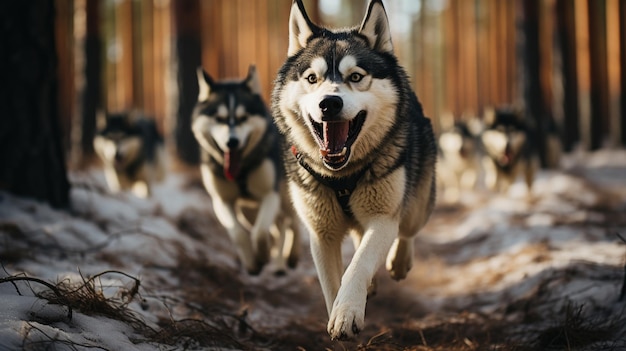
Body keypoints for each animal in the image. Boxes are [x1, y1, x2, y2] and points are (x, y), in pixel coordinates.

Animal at [193, 65, 300, 276]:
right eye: (219, 118)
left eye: (243, 118)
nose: (232, 142)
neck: (240, 170)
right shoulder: (222, 200)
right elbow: (237, 232)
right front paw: (252, 262)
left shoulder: (270, 194)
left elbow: (260, 231)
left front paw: (263, 254)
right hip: (247, 211)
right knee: (278, 227)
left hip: (285, 197)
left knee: (291, 223)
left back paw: (290, 256)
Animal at [270, 0, 436, 340]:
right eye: (312, 79)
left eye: (356, 76)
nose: (329, 103)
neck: (341, 176)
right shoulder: (321, 232)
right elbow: (332, 282)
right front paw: (339, 309)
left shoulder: (383, 217)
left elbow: (358, 265)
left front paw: (347, 313)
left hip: (417, 203)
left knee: (407, 230)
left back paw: (399, 262)